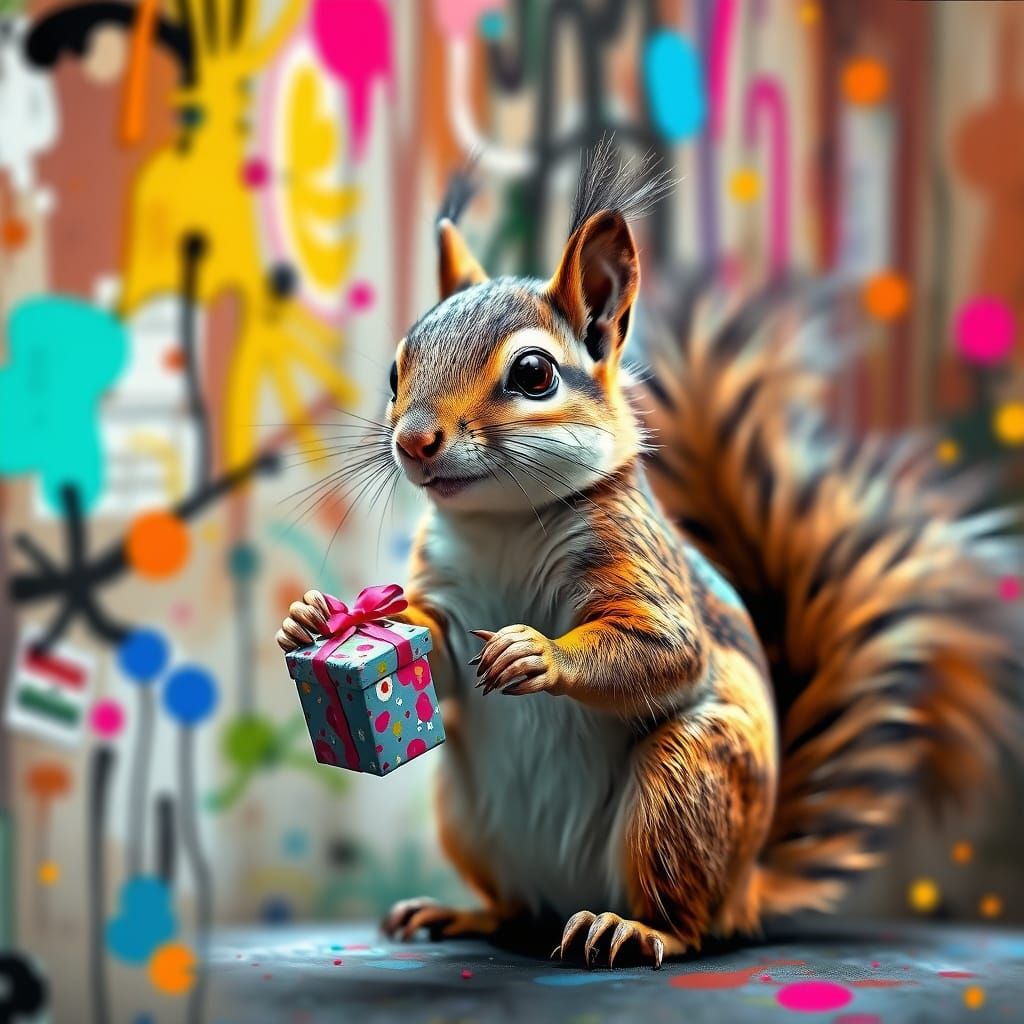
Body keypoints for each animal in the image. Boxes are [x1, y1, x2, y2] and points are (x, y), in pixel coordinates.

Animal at [277, 141, 1021, 969]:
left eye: (533, 373)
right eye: (394, 371)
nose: (413, 441)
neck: (503, 523)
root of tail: (746, 887)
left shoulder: (638, 563)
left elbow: (664, 647)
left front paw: (538, 654)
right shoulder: (440, 588)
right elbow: (430, 657)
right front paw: (311, 619)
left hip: (683, 784)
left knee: (686, 923)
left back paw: (632, 928)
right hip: (469, 817)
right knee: (517, 909)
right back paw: (464, 913)